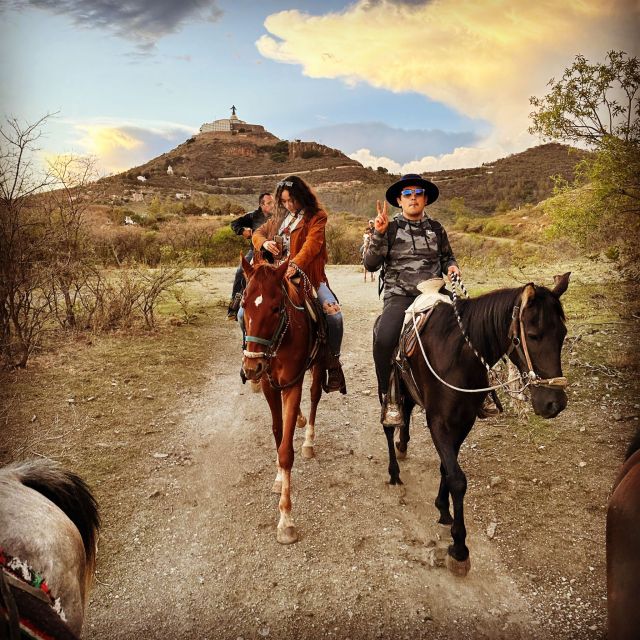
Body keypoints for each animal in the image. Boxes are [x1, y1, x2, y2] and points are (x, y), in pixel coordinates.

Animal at [239, 255, 322, 544]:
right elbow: (278, 433)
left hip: (319, 366)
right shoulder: (269, 385)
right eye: (243, 304)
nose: (250, 368)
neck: (282, 337)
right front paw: (277, 478)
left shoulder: (292, 384)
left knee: (315, 396)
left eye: (276, 308)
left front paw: (286, 520)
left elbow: (286, 451)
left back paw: (308, 440)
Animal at [382, 274, 572, 576]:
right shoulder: (438, 423)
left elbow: (447, 468)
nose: (555, 404)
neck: (458, 356)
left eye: (562, 335)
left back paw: (402, 446)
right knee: (389, 424)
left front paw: (443, 509)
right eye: (533, 336)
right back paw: (394, 471)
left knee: (407, 409)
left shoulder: (463, 421)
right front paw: (459, 548)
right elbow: (458, 479)